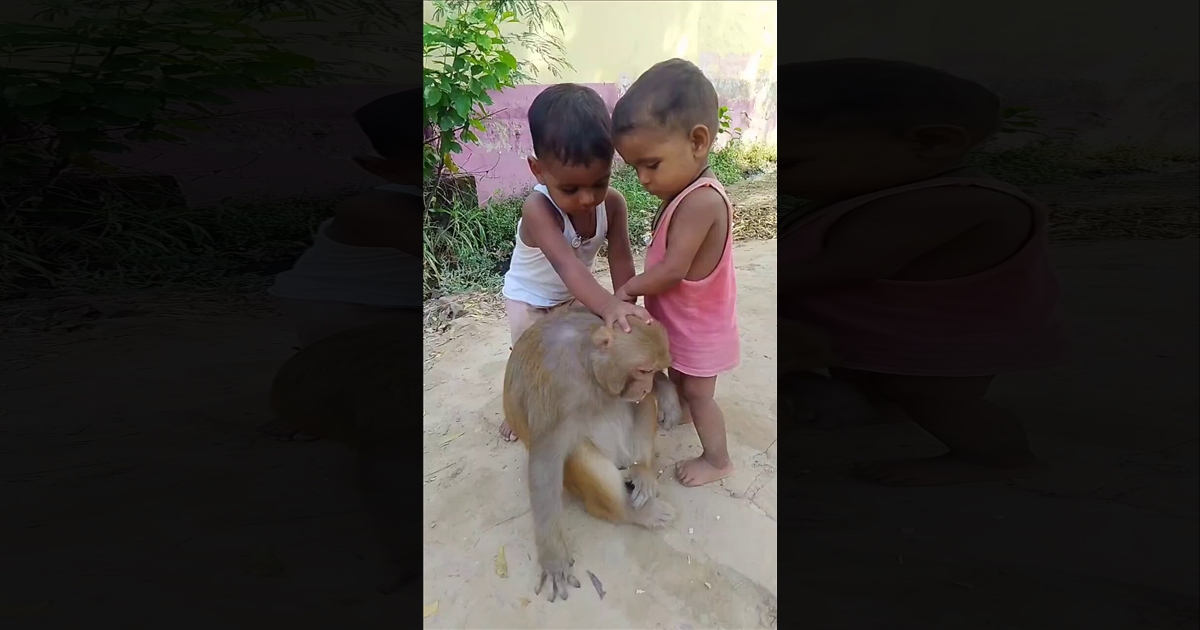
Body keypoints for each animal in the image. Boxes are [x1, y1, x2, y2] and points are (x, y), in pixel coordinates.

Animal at [503, 308, 682, 602]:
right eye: (643, 370)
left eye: (654, 371)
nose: (646, 385)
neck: (588, 367)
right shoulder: (557, 387)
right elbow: (544, 463)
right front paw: (553, 557)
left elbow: (641, 401)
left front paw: (666, 394)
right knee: (579, 455)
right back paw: (631, 512)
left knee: (640, 407)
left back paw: (641, 470)